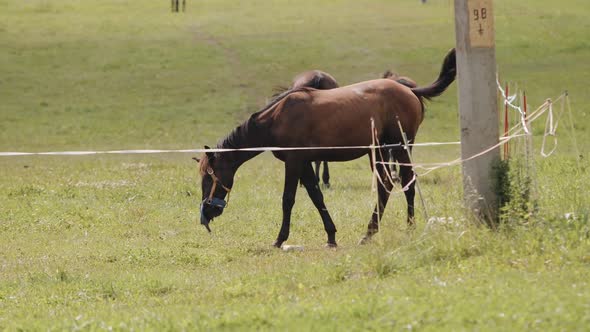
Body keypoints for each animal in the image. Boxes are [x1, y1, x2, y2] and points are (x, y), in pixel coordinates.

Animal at [200, 48, 458, 246]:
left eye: (208, 177)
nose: (207, 214)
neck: (277, 118)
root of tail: (410, 90)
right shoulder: (304, 163)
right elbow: (316, 197)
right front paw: (331, 236)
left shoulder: (294, 163)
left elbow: (288, 199)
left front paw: (280, 239)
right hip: (381, 151)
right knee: (387, 185)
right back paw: (371, 232)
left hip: (399, 148)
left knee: (405, 182)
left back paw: (405, 228)